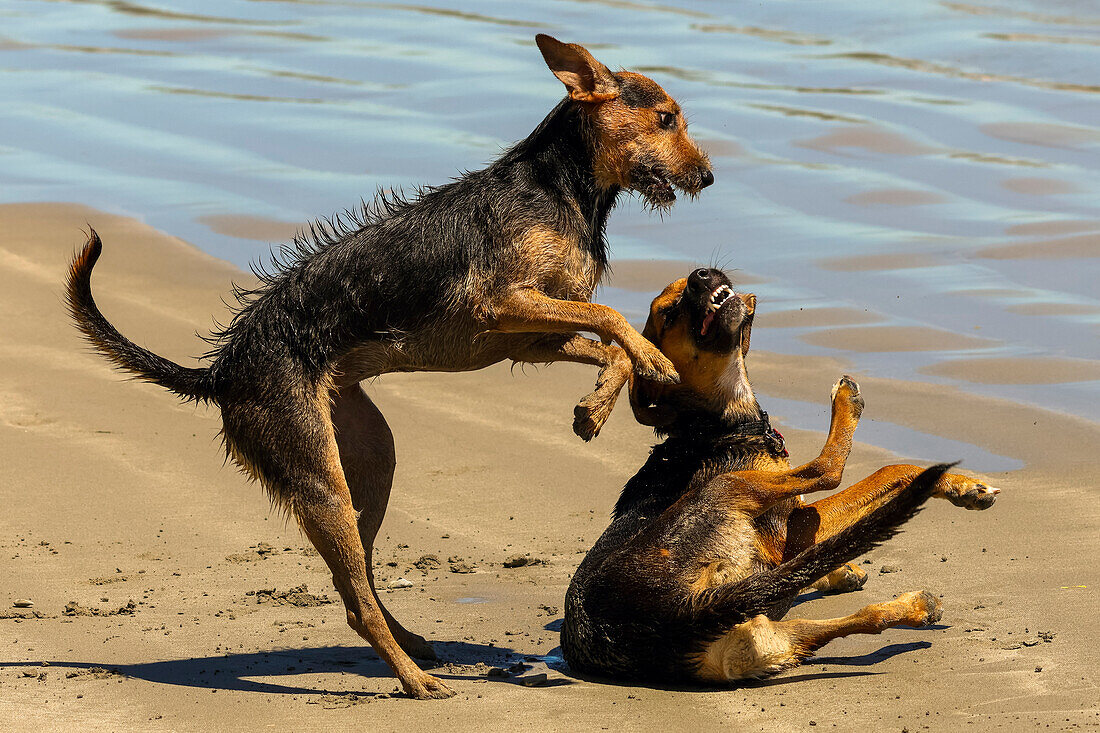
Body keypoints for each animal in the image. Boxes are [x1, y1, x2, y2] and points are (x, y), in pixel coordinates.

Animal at [64, 37, 712, 699]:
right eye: (666, 118)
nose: (708, 176)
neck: (561, 190)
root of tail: (222, 372)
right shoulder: (500, 305)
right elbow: (611, 317)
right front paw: (650, 362)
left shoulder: (530, 338)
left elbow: (610, 342)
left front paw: (595, 407)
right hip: (319, 478)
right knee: (355, 597)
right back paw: (413, 679)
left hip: (370, 460)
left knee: (360, 582)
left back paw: (415, 647)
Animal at [563, 269, 1003, 686]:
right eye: (669, 314)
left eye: (684, 284)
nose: (702, 275)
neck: (715, 426)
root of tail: (670, 618)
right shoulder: (783, 537)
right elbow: (888, 471)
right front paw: (965, 487)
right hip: (728, 490)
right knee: (828, 469)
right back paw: (847, 404)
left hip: (767, 639)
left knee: (860, 618)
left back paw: (913, 607)